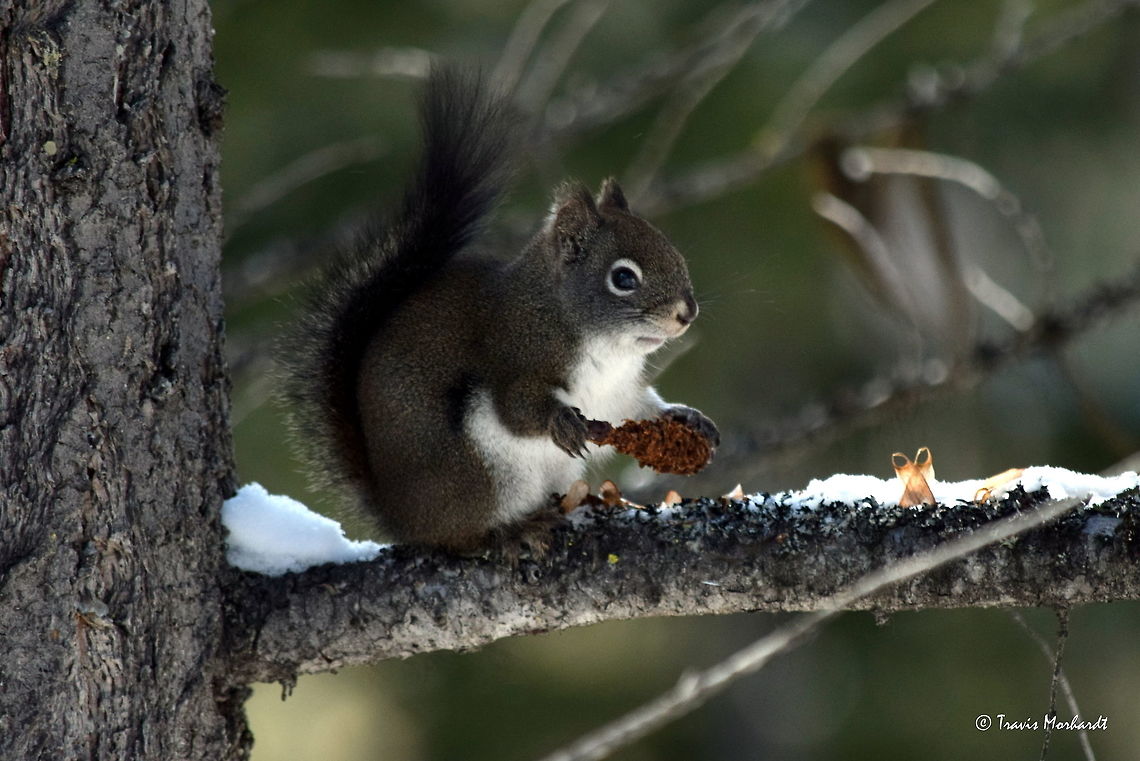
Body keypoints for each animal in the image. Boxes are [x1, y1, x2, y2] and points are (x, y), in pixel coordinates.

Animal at [280, 66, 719, 551]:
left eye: (671, 249)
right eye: (623, 278)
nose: (686, 313)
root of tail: (405, 521)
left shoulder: (616, 395)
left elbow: (637, 411)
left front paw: (685, 417)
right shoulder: (514, 354)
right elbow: (518, 409)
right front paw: (561, 423)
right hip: (481, 475)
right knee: (467, 536)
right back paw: (514, 531)